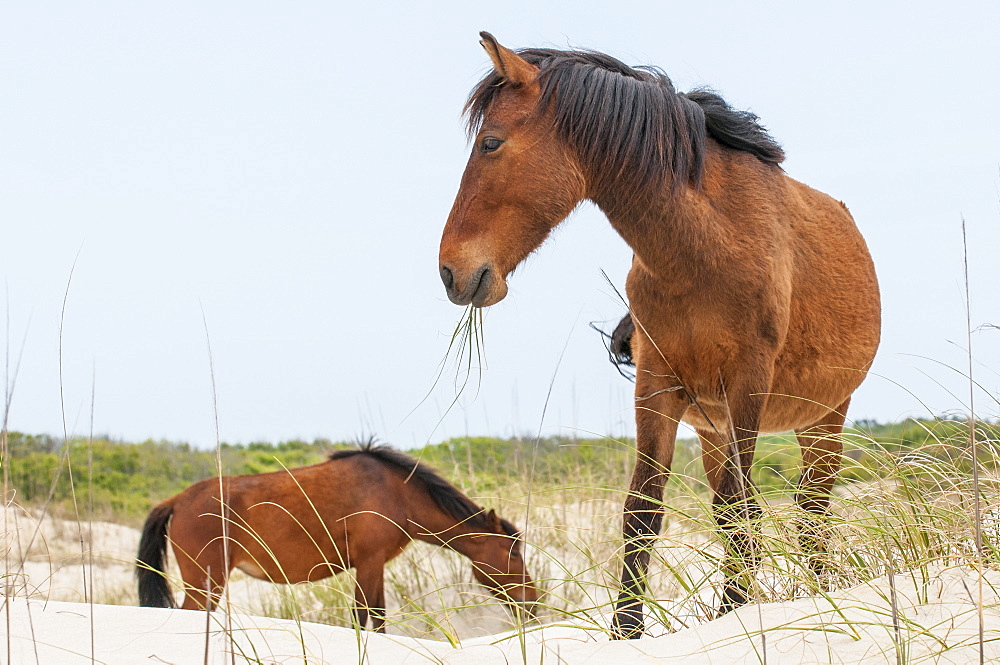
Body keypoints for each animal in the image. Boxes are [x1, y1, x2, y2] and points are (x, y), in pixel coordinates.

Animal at [139, 444, 540, 632]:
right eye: (514, 553)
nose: (533, 602)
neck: (397, 493)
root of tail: (177, 499)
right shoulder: (368, 563)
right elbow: (364, 616)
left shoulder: (373, 567)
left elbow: (377, 618)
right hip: (205, 583)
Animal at [442, 33, 880, 636]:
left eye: (491, 143)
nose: (450, 272)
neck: (703, 248)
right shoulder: (657, 387)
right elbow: (646, 510)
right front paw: (628, 630)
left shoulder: (748, 381)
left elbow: (743, 503)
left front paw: (734, 611)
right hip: (713, 425)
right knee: (738, 505)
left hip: (823, 417)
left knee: (812, 506)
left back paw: (819, 590)